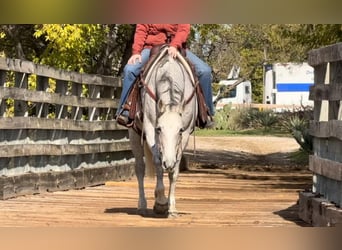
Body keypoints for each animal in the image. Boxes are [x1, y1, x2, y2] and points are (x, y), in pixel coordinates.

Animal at [128, 46, 198, 218]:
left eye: (180, 130)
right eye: (159, 129)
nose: (169, 162)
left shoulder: (186, 133)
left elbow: (175, 170)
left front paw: (171, 207)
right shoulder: (149, 128)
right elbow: (158, 162)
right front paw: (160, 202)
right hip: (134, 134)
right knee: (140, 168)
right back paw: (142, 205)